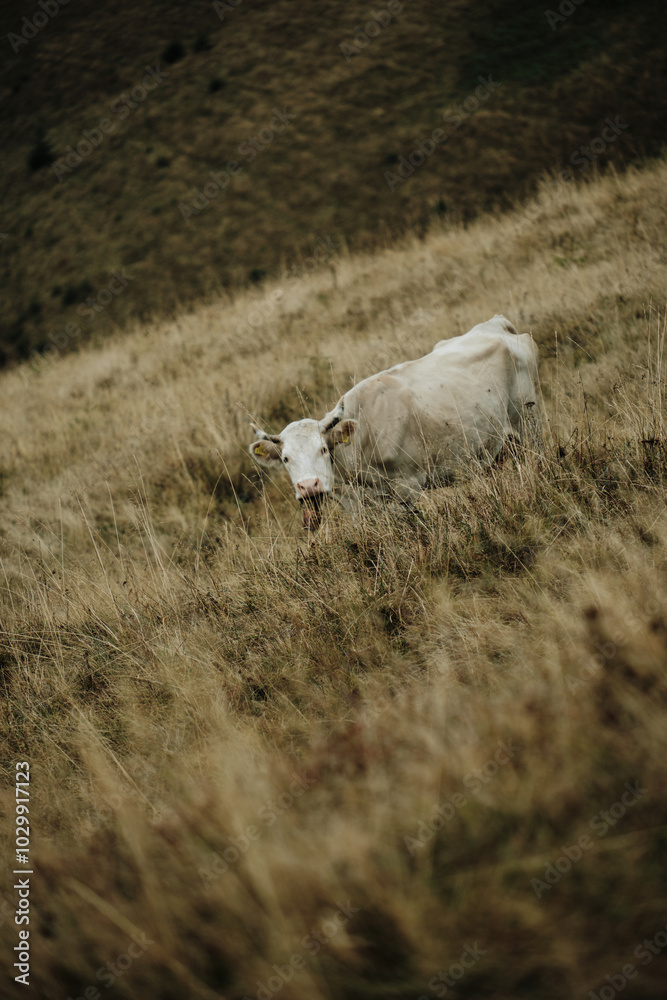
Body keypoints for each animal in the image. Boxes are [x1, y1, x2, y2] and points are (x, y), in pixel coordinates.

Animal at [249, 315, 542, 528]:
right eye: (285, 458)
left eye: (322, 449)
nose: (309, 487)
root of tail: (495, 324)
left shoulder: (407, 487)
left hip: (529, 425)